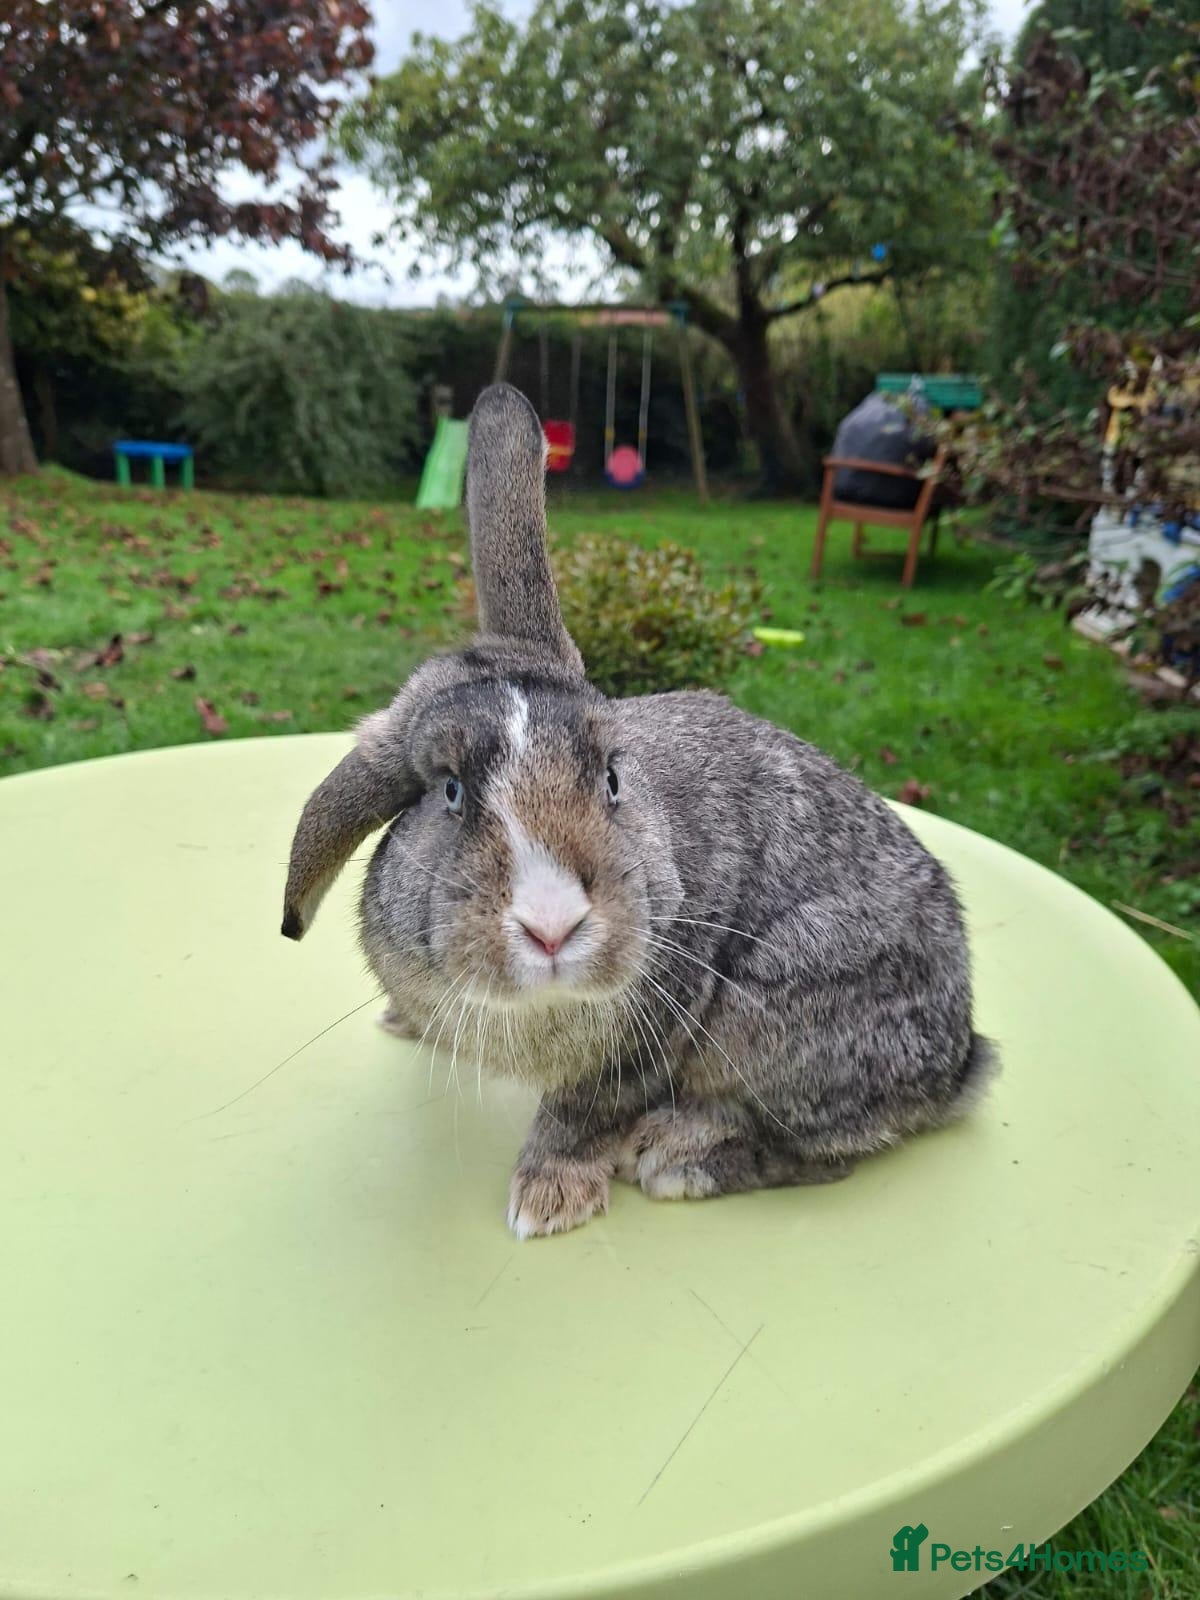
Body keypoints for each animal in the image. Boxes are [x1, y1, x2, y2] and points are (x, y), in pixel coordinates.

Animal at [282, 383, 996, 1239]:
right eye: (449, 791)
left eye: (613, 778)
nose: (552, 926)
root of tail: (960, 1061)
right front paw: (406, 1025)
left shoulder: (648, 1033)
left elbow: (583, 1114)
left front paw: (547, 1201)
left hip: (780, 1016)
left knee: (822, 1152)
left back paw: (675, 1157)